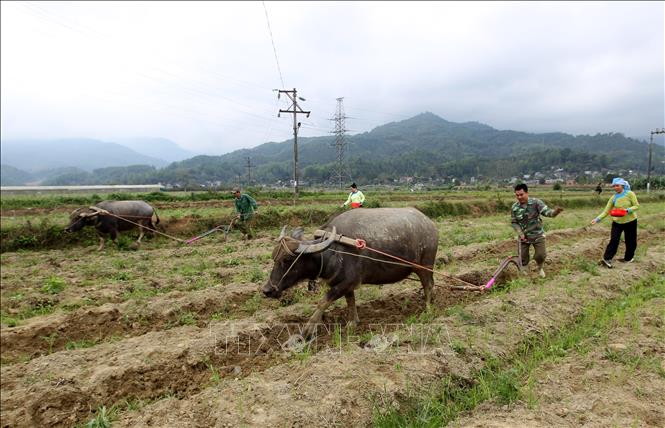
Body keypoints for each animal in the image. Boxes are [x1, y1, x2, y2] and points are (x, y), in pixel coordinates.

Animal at [262, 207, 438, 338]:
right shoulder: (345, 284)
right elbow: (350, 301)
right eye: (274, 258)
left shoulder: (347, 283)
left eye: (287, 260)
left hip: (425, 266)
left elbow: (323, 301)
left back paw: (428, 310)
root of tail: (429, 224)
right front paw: (352, 323)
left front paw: (307, 331)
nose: (267, 290)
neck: (332, 252)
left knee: (428, 285)